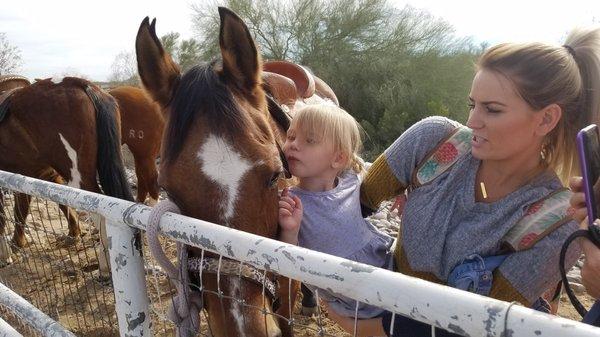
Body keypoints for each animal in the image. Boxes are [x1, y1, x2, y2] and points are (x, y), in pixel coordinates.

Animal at [0, 76, 132, 266]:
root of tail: (80, 83)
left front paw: (6, 252)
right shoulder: (34, 175)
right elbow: (25, 209)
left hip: (80, 180)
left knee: (100, 212)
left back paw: (106, 264)